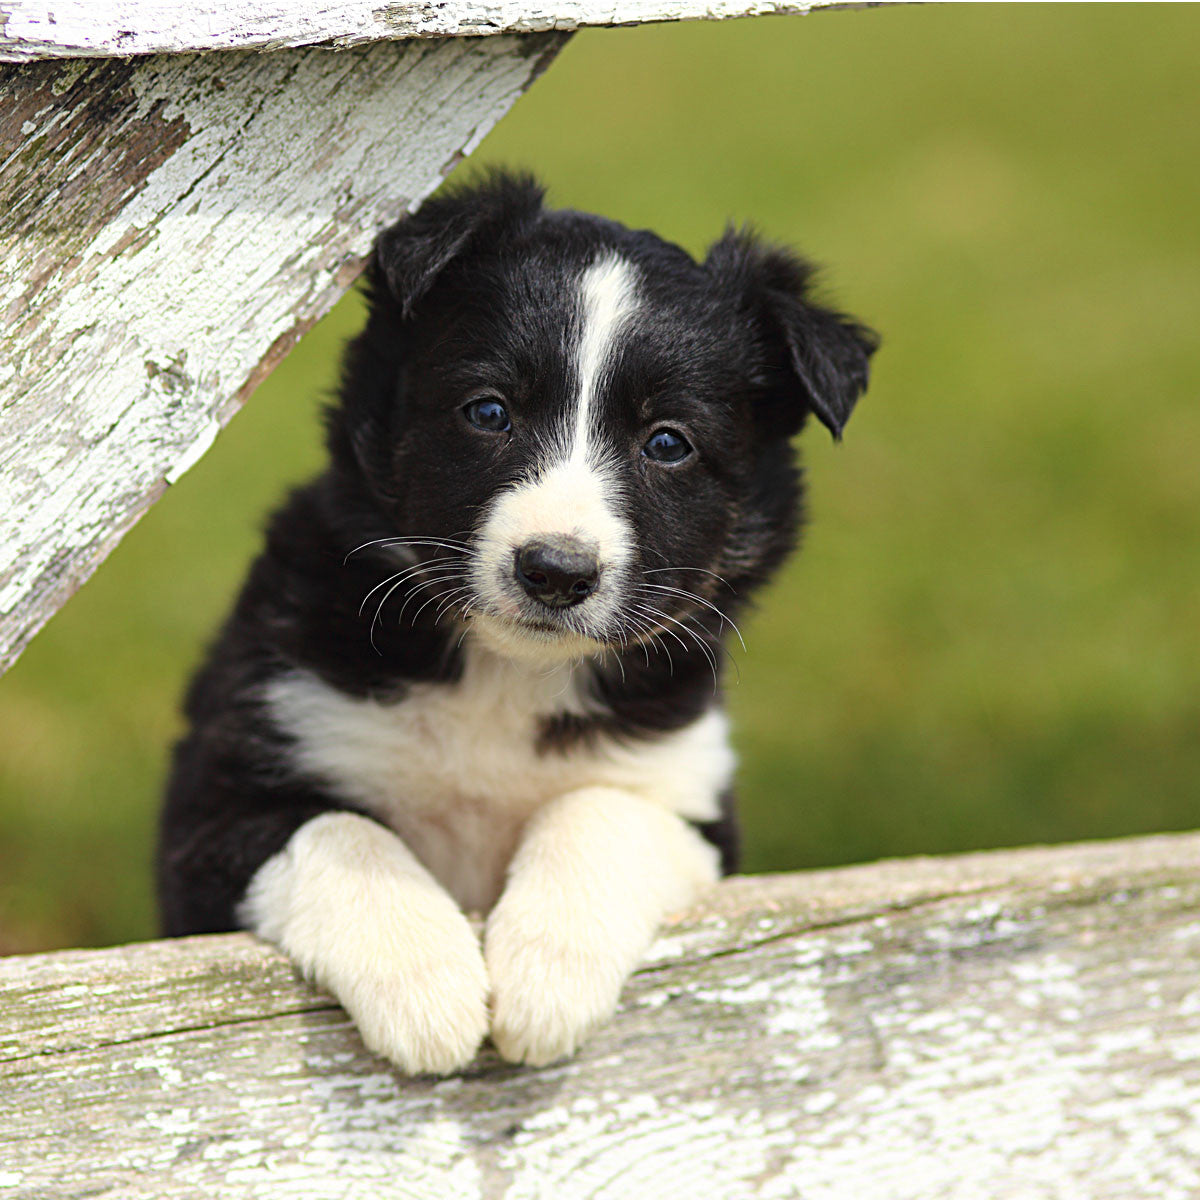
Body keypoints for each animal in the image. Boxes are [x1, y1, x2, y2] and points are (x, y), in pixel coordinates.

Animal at [157, 171, 873, 1080]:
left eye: (668, 443)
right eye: (489, 411)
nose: (556, 571)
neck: (505, 674)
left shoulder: (691, 798)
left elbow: (599, 810)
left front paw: (546, 981)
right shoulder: (218, 798)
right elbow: (341, 830)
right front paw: (426, 985)